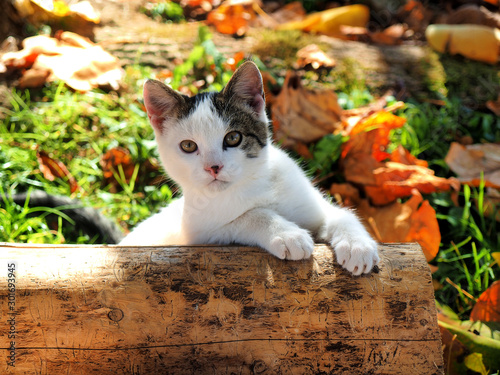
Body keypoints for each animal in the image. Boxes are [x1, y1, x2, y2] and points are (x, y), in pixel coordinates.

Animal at [121, 59, 378, 276]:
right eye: (188, 146)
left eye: (233, 138)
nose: (213, 167)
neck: (252, 183)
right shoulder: (201, 236)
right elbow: (247, 216)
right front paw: (287, 234)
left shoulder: (311, 205)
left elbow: (340, 214)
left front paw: (357, 245)